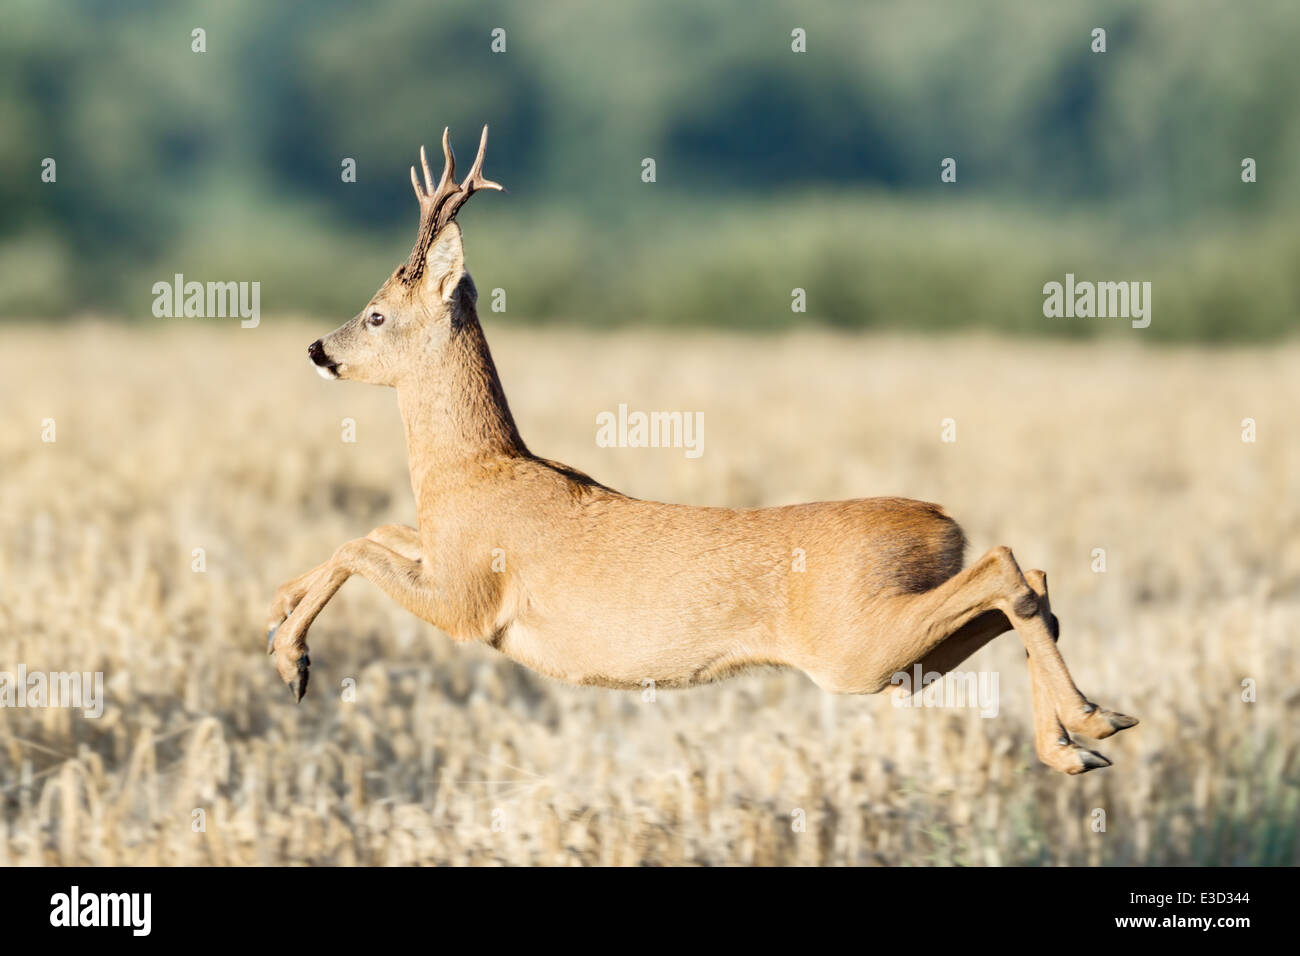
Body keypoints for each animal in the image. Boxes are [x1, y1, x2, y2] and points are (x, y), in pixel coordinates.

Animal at [266, 123, 1138, 775]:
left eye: (376, 314)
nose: (316, 349)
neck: (472, 470)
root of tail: (937, 521)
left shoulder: (471, 601)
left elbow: (359, 545)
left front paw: (290, 657)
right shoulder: (441, 555)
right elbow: (377, 531)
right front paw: (278, 614)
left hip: (854, 646)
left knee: (1009, 571)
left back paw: (1090, 726)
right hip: (900, 654)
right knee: (1028, 588)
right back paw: (1081, 737)